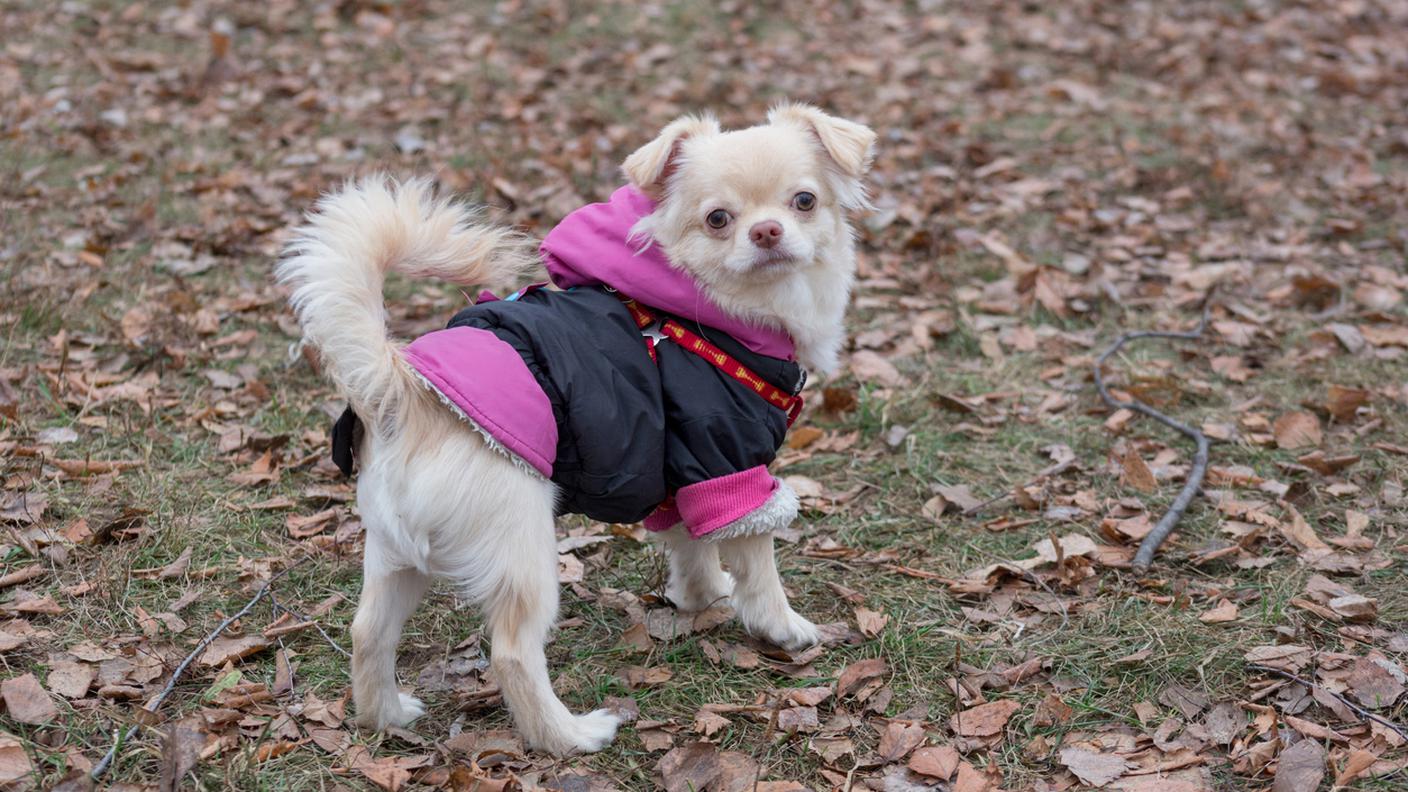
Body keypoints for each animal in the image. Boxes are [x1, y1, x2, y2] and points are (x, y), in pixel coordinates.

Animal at [274, 104, 872, 749]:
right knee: (511, 654)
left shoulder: (676, 469)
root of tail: (399, 391)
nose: (766, 232)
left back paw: (385, 716)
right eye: (718, 219)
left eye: (804, 201)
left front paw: (702, 597)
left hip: (395, 556)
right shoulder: (729, 460)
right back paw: (573, 736)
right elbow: (756, 561)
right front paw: (780, 626)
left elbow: (690, 544)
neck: (705, 311)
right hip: (524, 551)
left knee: (368, 632)